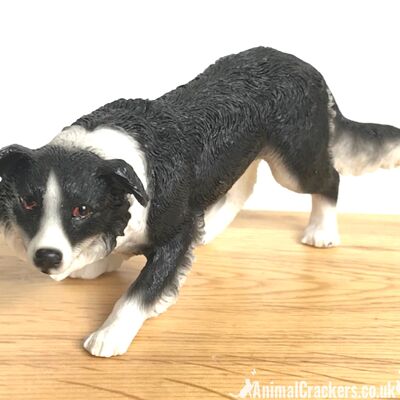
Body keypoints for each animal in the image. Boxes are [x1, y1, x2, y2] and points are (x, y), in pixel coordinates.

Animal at [0, 47, 400, 356]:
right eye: (29, 204)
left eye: (81, 210)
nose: (47, 257)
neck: (105, 157)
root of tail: (307, 67)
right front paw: (100, 261)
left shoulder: (174, 232)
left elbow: (141, 291)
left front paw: (110, 334)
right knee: (243, 185)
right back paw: (209, 230)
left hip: (294, 160)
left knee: (329, 179)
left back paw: (322, 232)